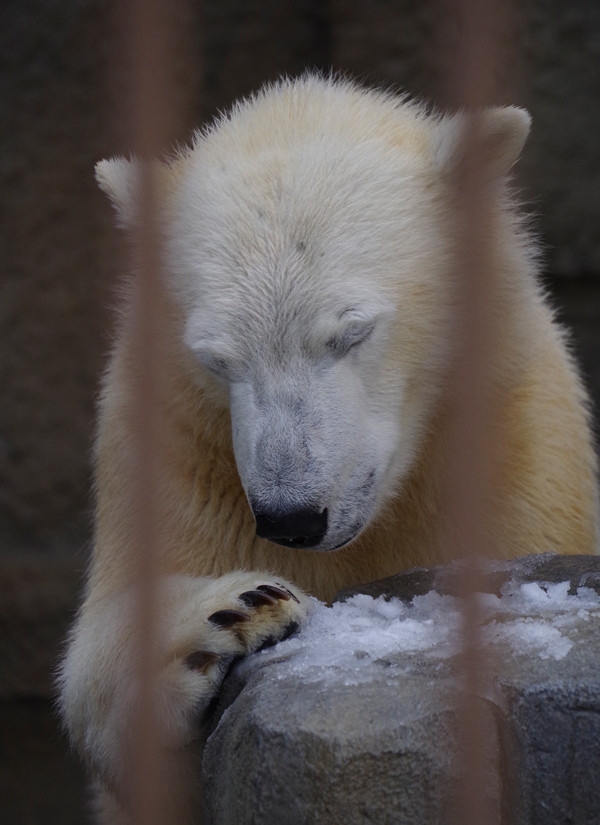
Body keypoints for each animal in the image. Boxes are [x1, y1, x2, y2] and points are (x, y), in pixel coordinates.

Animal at [58, 74, 596, 820]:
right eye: (218, 358)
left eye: (352, 331)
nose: (293, 516)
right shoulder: (177, 450)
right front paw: (237, 608)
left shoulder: (514, 446)